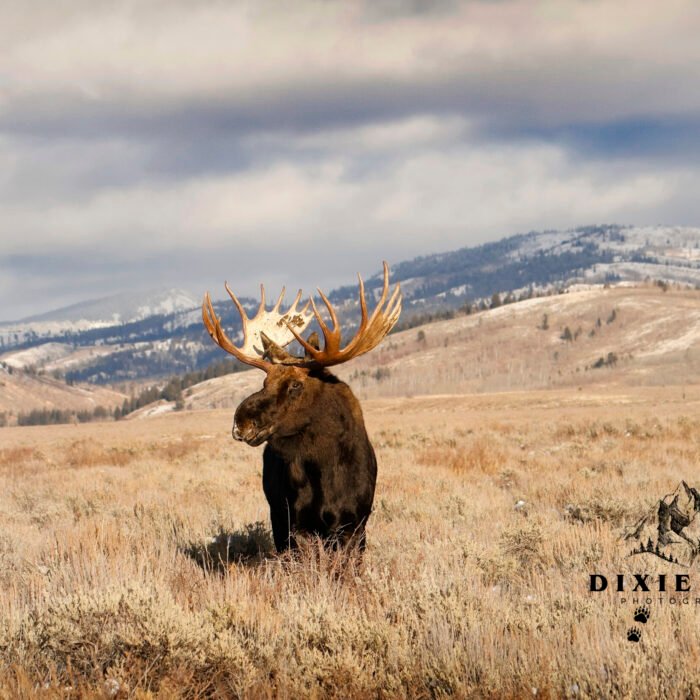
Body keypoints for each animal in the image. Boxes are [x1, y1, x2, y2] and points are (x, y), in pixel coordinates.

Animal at [202, 263, 401, 553]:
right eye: (265, 381)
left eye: (296, 385)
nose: (241, 422)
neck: (323, 471)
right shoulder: (295, 522)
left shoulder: (353, 524)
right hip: (277, 515)